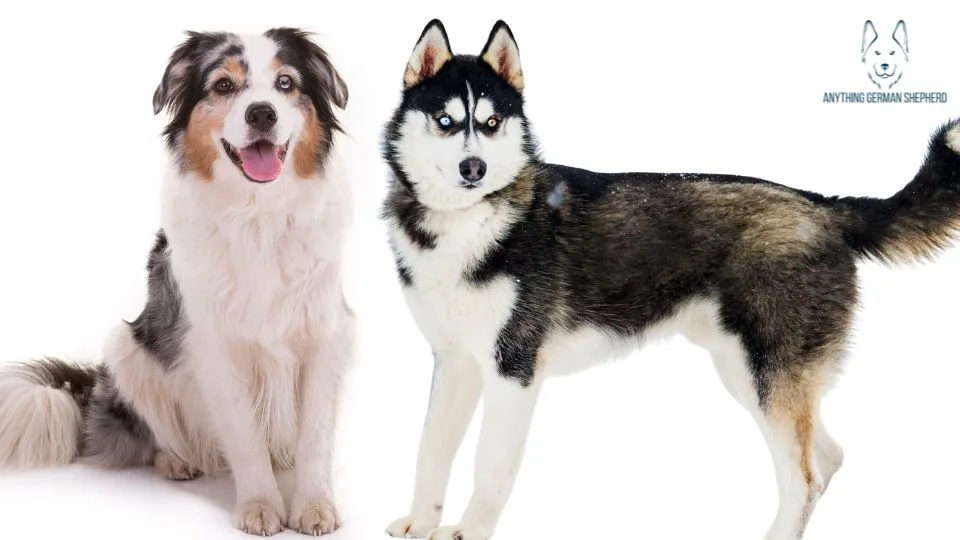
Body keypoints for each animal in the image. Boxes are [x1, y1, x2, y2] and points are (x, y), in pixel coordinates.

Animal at [0, 28, 354, 536]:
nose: (261, 113)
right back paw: (176, 460)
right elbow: (245, 436)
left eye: (286, 82)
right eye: (223, 85)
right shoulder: (214, 347)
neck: (258, 215)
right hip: (125, 347)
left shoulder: (323, 334)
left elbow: (315, 435)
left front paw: (314, 505)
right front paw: (260, 505)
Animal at [380, 17, 960, 540]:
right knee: (828, 458)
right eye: (445, 120)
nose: (473, 168)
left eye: (492, 121)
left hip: (766, 377)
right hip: (747, 374)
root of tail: (823, 206)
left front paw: (467, 531)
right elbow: (429, 450)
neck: (467, 224)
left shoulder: (513, 368)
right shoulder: (454, 362)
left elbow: (489, 464)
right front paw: (420, 523)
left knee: (805, 477)